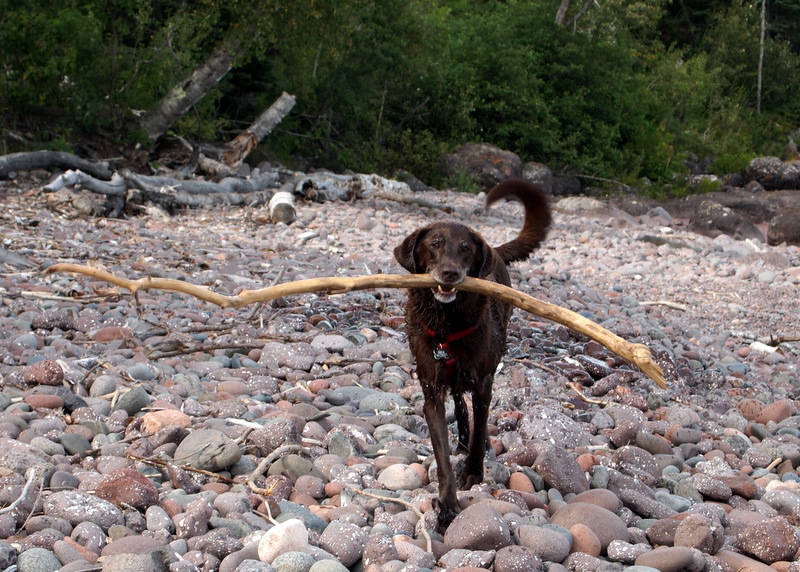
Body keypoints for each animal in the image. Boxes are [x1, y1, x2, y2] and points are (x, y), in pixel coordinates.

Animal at [392, 178, 552, 528]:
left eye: (466, 249)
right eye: (435, 244)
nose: (450, 273)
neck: (447, 326)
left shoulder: (484, 383)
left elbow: (481, 430)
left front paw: (474, 472)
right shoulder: (431, 390)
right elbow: (441, 451)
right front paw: (448, 503)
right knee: (458, 401)